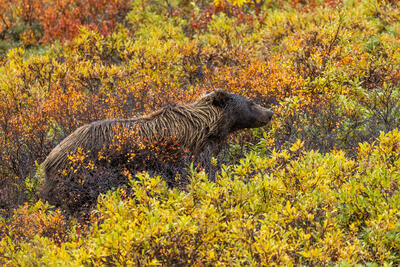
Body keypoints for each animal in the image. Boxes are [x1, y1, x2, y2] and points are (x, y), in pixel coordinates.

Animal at [39, 91, 272, 213]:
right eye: (251, 102)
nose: (270, 111)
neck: (206, 130)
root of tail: (48, 158)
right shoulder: (187, 153)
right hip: (78, 173)